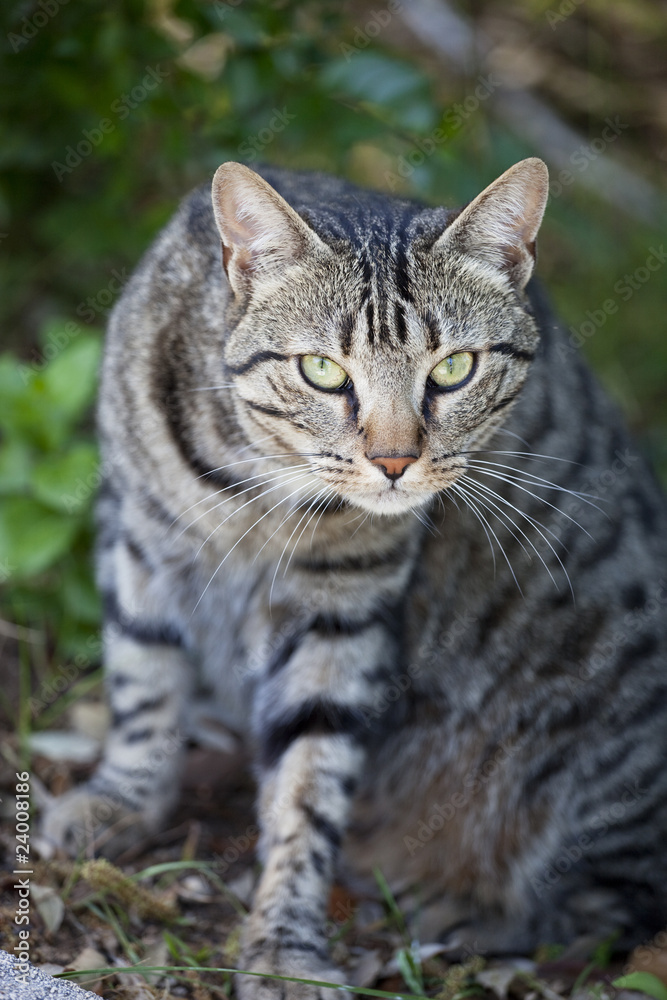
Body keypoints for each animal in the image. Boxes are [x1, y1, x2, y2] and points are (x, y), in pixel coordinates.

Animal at [43, 160, 667, 996]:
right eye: (321, 370)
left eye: (453, 369)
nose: (394, 461)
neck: (252, 489)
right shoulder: (138, 538)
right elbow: (143, 681)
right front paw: (123, 798)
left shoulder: (340, 613)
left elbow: (309, 785)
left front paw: (286, 946)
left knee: (606, 906)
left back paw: (462, 913)